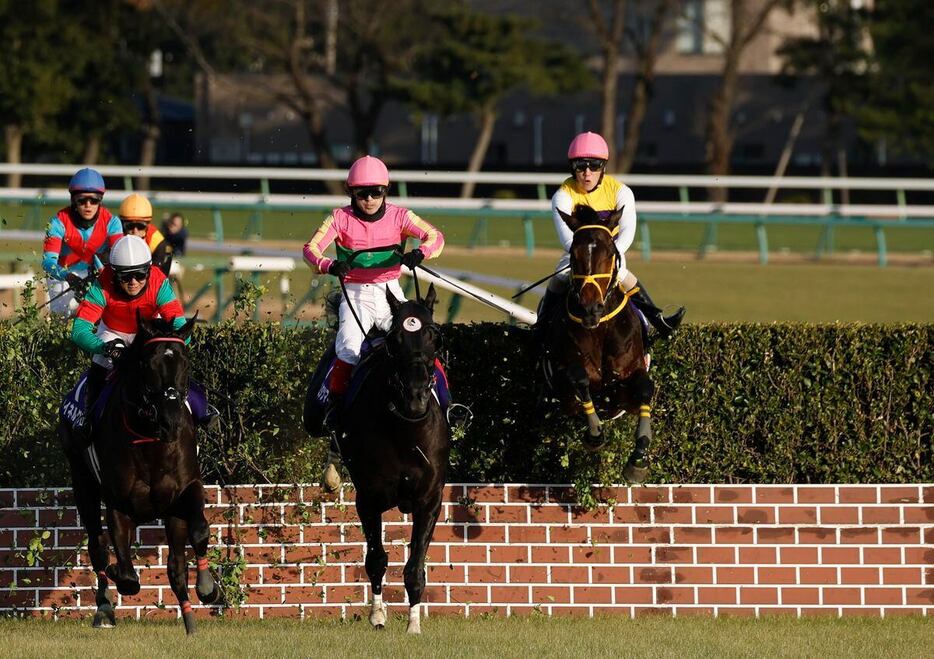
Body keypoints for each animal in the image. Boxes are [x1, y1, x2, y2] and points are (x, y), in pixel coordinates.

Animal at [58, 318, 219, 636]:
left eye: (186, 362)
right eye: (147, 364)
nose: (172, 422)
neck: (151, 440)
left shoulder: (187, 491)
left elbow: (199, 532)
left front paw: (208, 587)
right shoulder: (119, 505)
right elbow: (127, 577)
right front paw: (116, 575)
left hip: (171, 513)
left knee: (175, 567)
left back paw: (190, 622)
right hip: (82, 482)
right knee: (97, 545)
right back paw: (104, 607)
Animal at [334, 284, 452, 636]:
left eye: (434, 336)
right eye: (394, 339)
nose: (416, 396)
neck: (406, 430)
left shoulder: (430, 499)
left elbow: (415, 566)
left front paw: (413, 623)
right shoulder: (368, 498)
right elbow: (376, 559)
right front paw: (377, 615)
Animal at [540, 205, 660, 484]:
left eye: (610, 252)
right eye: (574, 253)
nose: (590, 309)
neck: (601, 330)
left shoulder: (625, 390)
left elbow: (645, 388)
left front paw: (638, 459)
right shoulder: (565, 380)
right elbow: (580, 378)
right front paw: (595, 432)